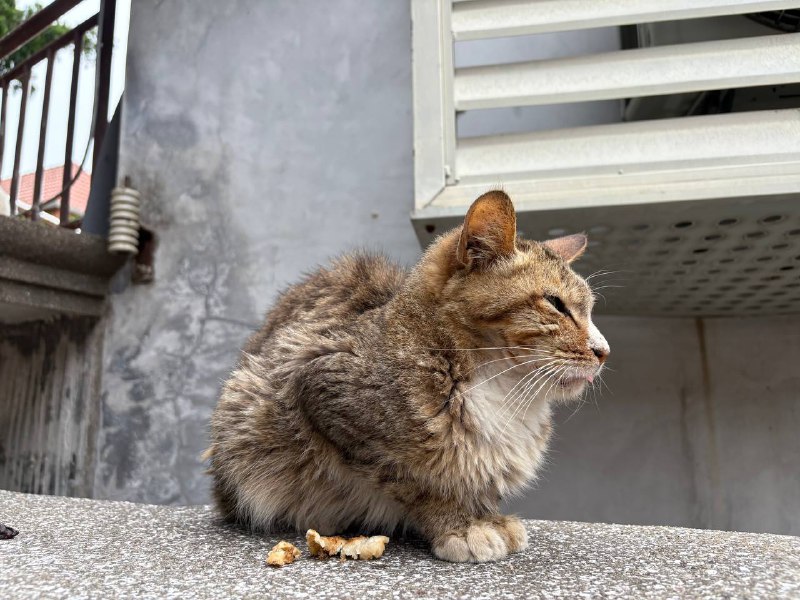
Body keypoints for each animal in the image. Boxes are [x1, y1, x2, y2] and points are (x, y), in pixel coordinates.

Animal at [205, 190, 608, 560]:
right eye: (555, 304)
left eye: (589, 309)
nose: (603, 351)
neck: (503, 389)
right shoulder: (322, 390)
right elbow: (417, 482)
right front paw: (459, 525)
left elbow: (480, 484)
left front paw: (487, 516)